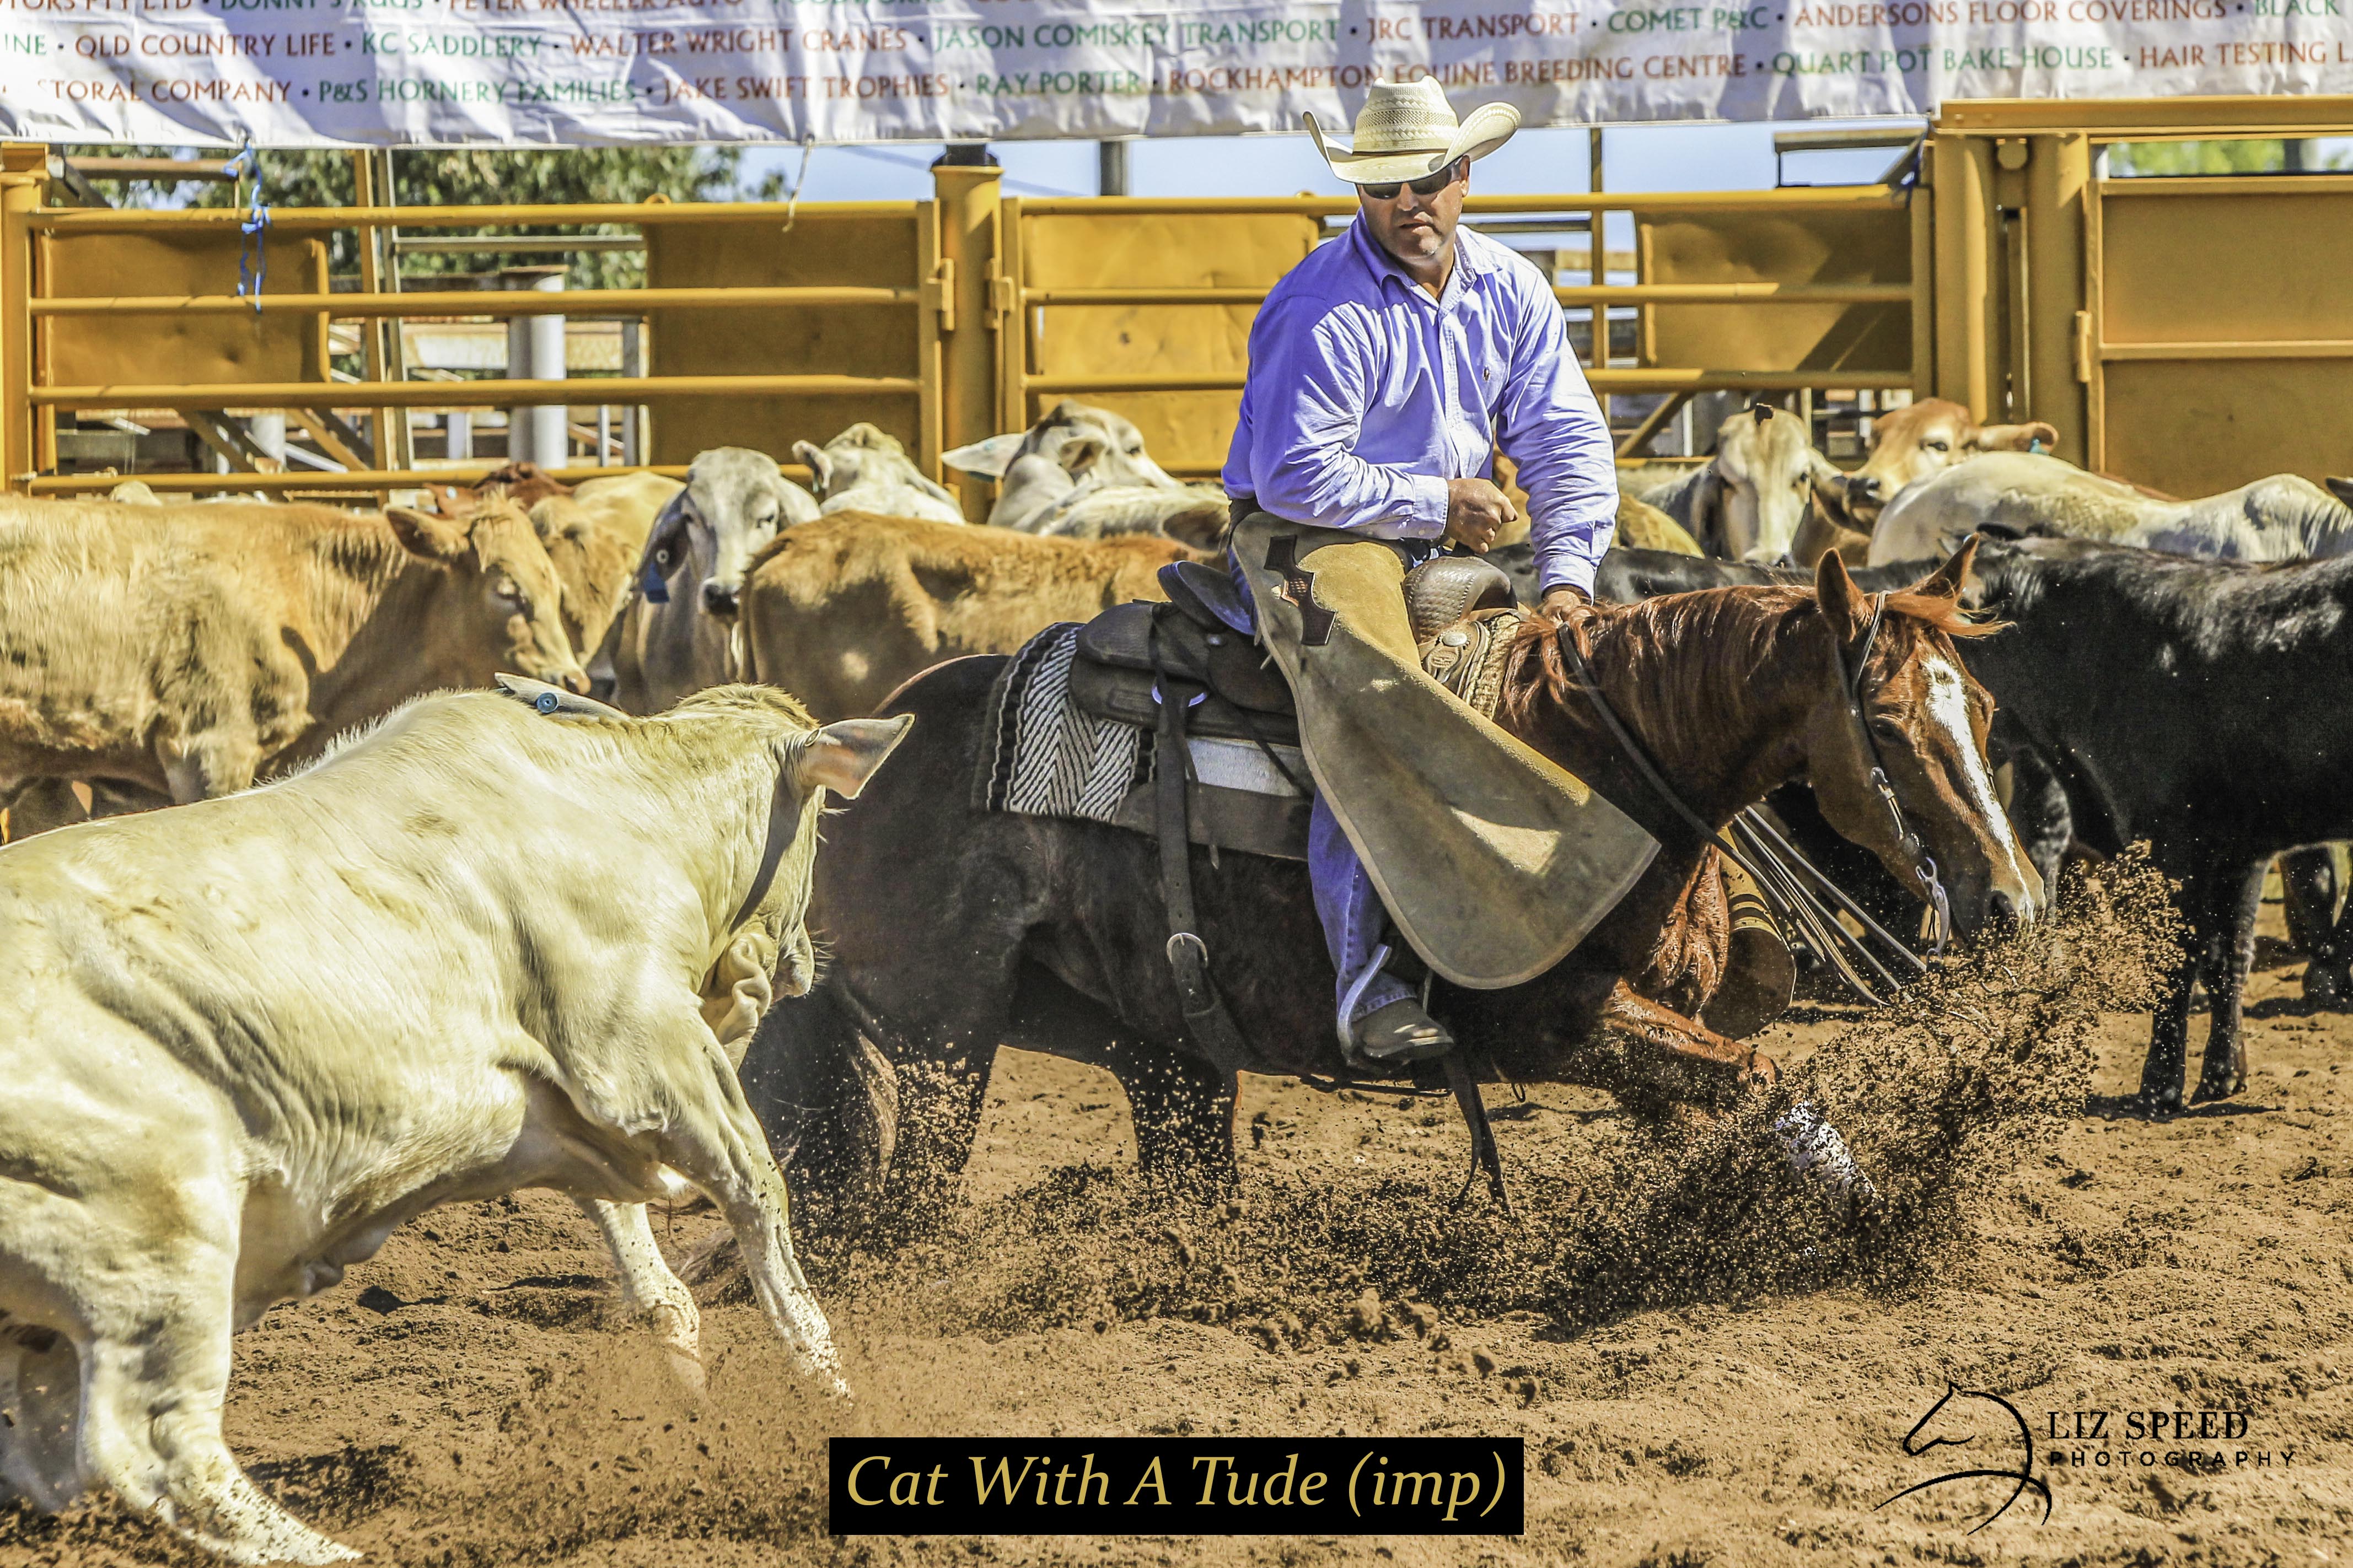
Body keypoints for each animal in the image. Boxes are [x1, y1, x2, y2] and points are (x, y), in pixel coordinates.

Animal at [0, 682, 910, 1564]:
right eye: (819, 821)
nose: (802, 960)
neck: (624, 810)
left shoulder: (566, 1117)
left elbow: (645, 1253)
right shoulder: (642, 1050)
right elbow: (758, 1193)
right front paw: (829, 1388)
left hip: (57, 1316)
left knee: (54, 1456)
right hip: (163, 1237)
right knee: (154, 1452)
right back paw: (342, 1553)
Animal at [741, 543, 2042, 1221]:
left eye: (1982, 710)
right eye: (1887, 722)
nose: (2014, 901)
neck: (1593, 772)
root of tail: (861, 745)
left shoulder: (1655, 1034)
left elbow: (1735, 1100)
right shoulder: (1559, 1028)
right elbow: (1765, 1075)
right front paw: (1887, 1230)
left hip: (1161, 1057)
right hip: (942, 1044)